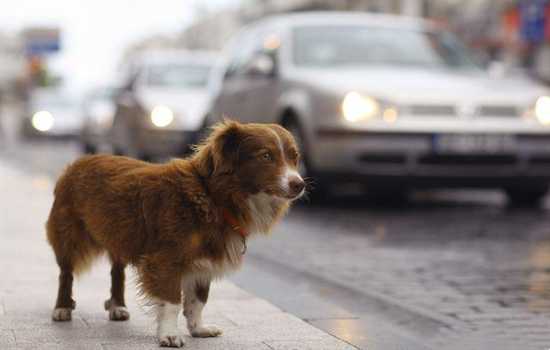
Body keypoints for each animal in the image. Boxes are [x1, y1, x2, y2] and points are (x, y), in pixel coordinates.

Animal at [47, 120, 306, 348]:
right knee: (65, 274)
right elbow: (172, 301)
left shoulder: (204, 262)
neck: (213, 197)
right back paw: (62, 307)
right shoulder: (166, 260)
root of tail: (80, 161)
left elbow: (197, 301)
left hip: (118, 234)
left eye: (294, 158)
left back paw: (117, 306)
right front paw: (170, 335)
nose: (299, 184)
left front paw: (198, 329)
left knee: (117, 272)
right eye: (266, 156)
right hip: (69, 235)